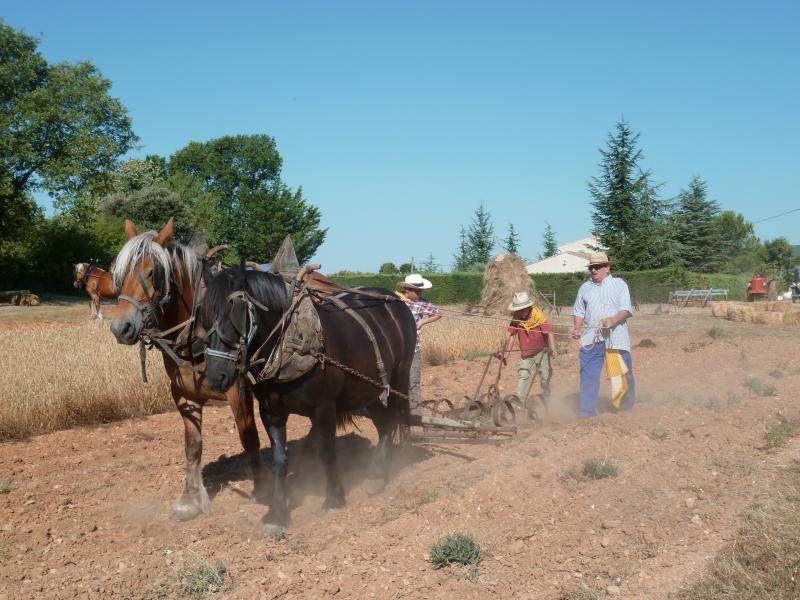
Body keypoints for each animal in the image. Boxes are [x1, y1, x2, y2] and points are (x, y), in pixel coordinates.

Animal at [108, 217, 270, 520]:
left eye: (152, 273)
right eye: (119, 274)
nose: (120, 327)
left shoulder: (237, 390)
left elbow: (249, 438)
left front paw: (263, 487)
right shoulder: (184, 393)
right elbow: (192, 445)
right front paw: (190, 499)